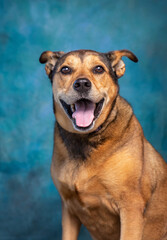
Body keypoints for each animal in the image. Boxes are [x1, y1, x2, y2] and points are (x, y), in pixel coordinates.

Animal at [39, 49, 167, 240]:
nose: (82, 84)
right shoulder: (69, 210)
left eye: (98, 69)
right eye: (65, 69)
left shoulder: (131, 208)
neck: (85, 140)